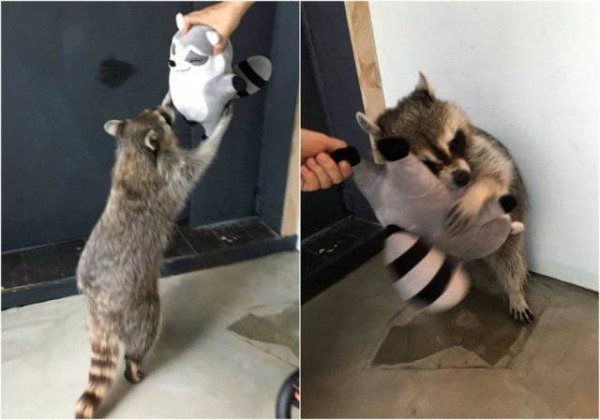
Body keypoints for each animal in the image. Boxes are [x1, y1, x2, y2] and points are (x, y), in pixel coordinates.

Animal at [74, 100, 233, 418]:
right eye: (165, 119)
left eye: (157, 111)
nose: (171, 109)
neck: (134, 151)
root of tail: (99, 304)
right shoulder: (171, 174)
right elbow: (200, 160)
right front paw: (219, 129)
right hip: (138, 304)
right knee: (145, 331)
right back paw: (134, 364)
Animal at [356, 73, 536, 324]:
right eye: (427, 162)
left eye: (453, 142)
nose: (463, 177)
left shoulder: (480, 149)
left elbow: (497, 173)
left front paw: (474, 195)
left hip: (511, 227)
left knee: (510, 257)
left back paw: (515, 290)